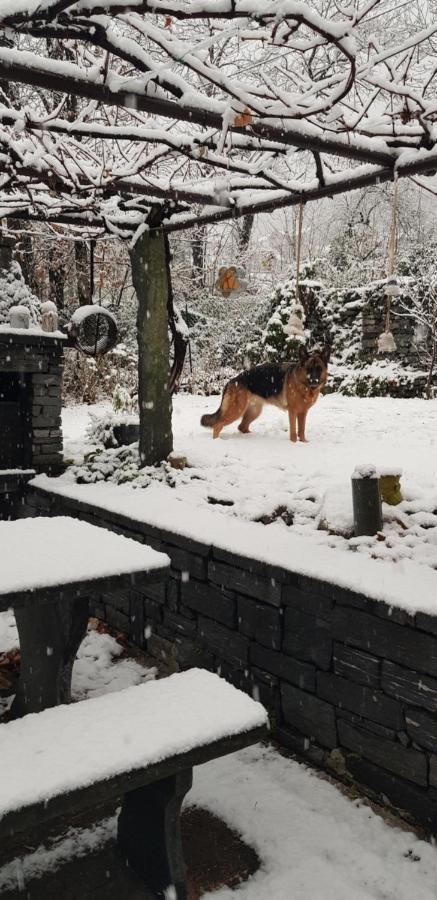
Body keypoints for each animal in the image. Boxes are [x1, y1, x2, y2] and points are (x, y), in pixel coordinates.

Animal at [199, 344, 328, 442]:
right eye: (308, 369)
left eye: (319, 369)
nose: (314, 381)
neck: (303, 384)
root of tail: (232, 380)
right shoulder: (293, 412)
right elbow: (294, 431)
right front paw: (294, 443)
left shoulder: (303, 413)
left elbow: (301, 430)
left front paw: (304, 442)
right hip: (236, 410)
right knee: (218, 425)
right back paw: (217, 441)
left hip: (254, 411)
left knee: (241, 427)